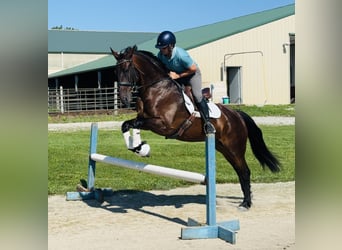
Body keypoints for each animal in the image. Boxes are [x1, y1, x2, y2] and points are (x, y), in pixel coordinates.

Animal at [110, 45, 280, 209]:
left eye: (127, 69)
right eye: (115, 71)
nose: (124, 100)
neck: (156, 88)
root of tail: (236, 114)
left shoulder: (163, 125)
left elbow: (135, 124)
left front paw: (141, 148)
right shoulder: (143, 118)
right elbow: (127, 125)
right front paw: (138, 147)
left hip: (234, 148)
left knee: (244, 171)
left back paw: (246, 203)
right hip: (223, 148)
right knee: (240, 171)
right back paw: (246, 200)